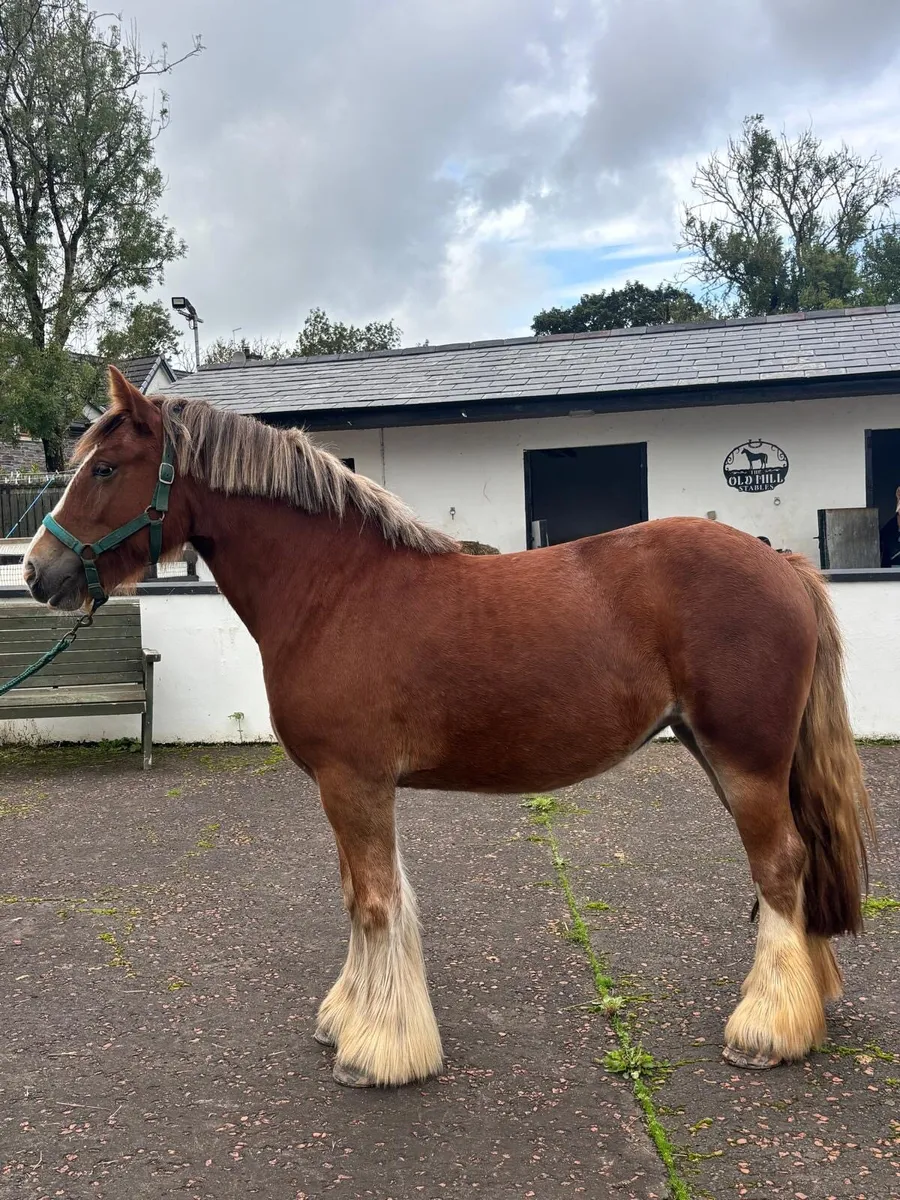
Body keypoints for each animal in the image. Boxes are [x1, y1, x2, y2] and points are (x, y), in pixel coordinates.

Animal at [23, 367, 873, 1087]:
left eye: (105, 469)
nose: (36, 573)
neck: (335, 590)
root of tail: (779, 560)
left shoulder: (354, 782)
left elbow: (374, 902)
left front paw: (376, 1051)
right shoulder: (354, 788)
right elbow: (363, 897)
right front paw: (350, 1019)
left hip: (744, 757)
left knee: (780, 866)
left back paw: (766, 1029)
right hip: (726, 754)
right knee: (796, 860)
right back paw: (810, 999)